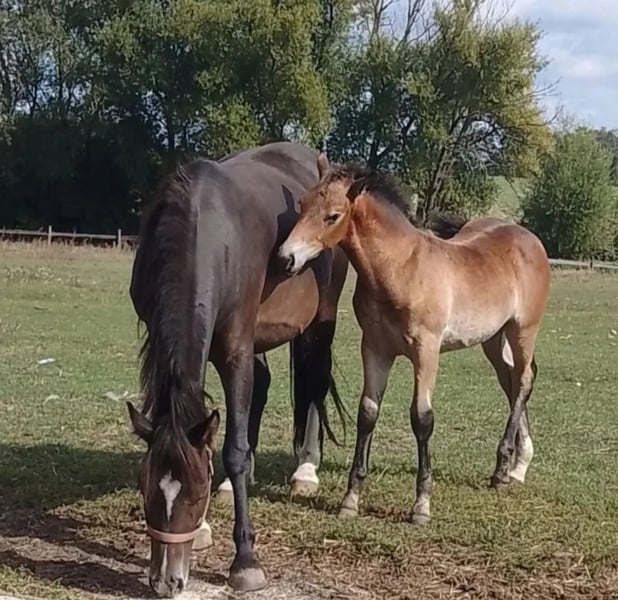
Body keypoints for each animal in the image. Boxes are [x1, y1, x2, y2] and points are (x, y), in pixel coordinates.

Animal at [127, 142, 348, 597]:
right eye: (145, 487)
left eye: (195, 496)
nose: (166, 581)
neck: (205, 231)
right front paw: (208, 520)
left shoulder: (234, 351)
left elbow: (233, 449)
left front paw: (245, 560)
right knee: (262, 387)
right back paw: (236, 485)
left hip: (319, 321)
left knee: (314, 382)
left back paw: (306, 470)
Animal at [278, 152, 550, 525]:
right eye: (302, 204)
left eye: (332, 215)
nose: (286, 258)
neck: (402, 268)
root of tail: (528, 238)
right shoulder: (375, 348)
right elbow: (367, 413)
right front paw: (351, 499)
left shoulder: (426, 351)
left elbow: (422, 419)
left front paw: (421, 505)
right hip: (493, 339)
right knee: (512, 384)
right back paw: (516, 467)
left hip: (523, 330)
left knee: (523, 381)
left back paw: (502, 470)